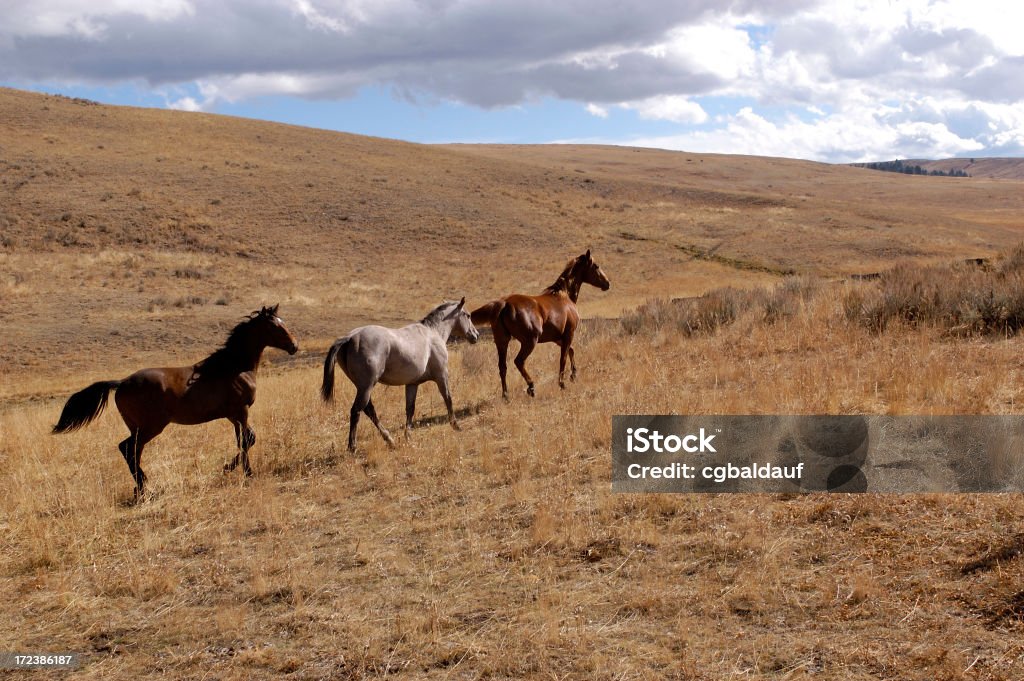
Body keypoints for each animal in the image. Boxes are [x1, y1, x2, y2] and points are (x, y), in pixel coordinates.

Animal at [53, 307, 299, 493]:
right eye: (275, 326)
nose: (294, 346)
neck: (234, 367)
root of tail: (121, 383)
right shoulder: (241, 411)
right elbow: (245, 442)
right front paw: (244, 473)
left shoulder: (232, 415)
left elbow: (249, 439)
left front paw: (229, 468)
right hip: (152, 426)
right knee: (128, 448)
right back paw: (143, 486)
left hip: (138, 428)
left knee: (132, 451)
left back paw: (141, 488)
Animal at [319, 296, 479, 450]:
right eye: (468, 315)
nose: (475, 335)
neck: (433, 333)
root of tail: (350, 337)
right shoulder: (442, 375)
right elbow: (448, 398)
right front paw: (455, 425)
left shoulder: (412, 384)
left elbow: (410, 408)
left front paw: (408, 436)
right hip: (366, 386)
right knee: (356, 411)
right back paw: (353, 447)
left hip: (362, 387)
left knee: (369, 410)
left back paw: (390, 440)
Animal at [471, 249, 606, 399]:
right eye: (596, 266)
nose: (607, 284)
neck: (564, 296)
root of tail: (504, 303)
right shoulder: (568, 334)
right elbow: (563, 358)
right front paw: (562, 383)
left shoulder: (557, 338)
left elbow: (571, 350)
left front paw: (574, 375)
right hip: (529, 341)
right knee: (519, 361)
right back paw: (531, 387)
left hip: (502, 341)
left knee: (502, 366)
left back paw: (506, 395)